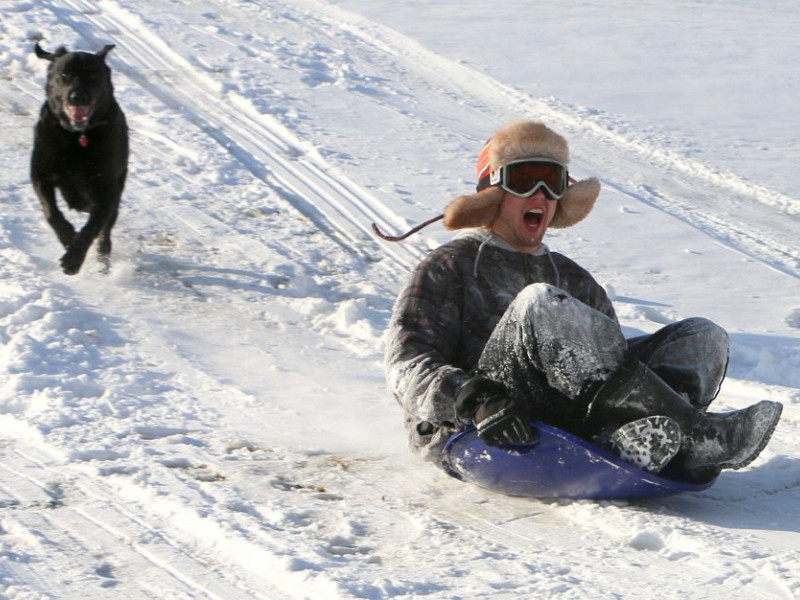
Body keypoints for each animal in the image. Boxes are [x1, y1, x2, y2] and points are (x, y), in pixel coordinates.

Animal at [31, 43, 128, 276]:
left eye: (93, 75)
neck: (77, 137)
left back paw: (102, 259)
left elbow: (92, 227)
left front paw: (73, 260)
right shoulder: (40, 174)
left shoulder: (106, 189)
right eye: (64, 75)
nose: (78, 97)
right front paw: (68, 238)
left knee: (105, 230)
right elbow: (51, 213)